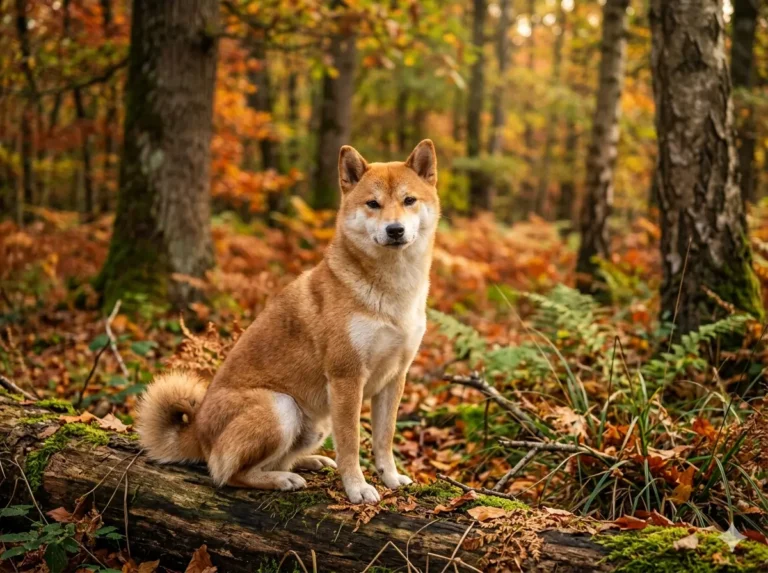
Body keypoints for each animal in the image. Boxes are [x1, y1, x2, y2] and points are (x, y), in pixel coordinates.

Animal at [136, 139, 440, 504]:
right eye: (373, 204)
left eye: (409, 200)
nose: (395, 230)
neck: (393, 291)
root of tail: (197, 431)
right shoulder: (346, 377)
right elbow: (351, 444)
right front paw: (356, 487)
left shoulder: (394, 377)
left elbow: (384, 439)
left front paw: (391, 478)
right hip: (282, 407)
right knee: (227, 474)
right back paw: (282, 479)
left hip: (316, 423)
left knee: (273, 459)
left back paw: (308, 462)